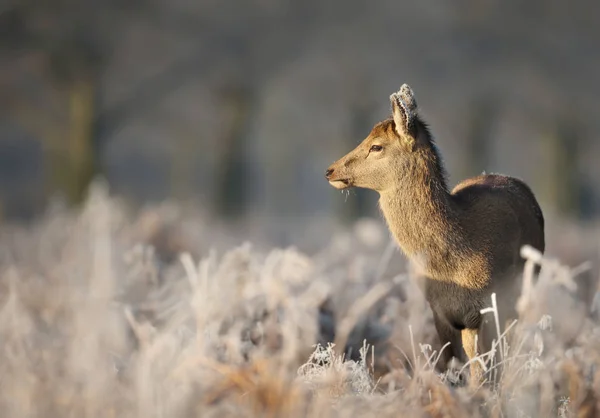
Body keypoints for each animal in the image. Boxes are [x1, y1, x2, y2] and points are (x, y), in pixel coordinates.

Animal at [326, 83, 548, 386]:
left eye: (376, 146)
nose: (330, 170)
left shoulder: (489, 309)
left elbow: (485, 374)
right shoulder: (440, 313)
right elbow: (452, 368)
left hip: (522, 292)